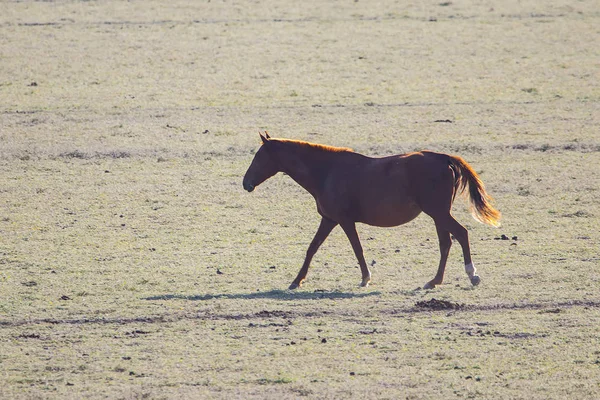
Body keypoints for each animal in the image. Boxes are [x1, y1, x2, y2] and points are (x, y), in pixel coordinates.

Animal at [241, 133, 500, 290]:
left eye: (259, 156)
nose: (246, 183)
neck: (326, 171)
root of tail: (444, 159)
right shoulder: (328, 220)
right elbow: (312, 248)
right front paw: (297, 281)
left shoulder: (344, 221)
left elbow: (357, 248)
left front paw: (365, 278)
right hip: (438, 215)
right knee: (446, 242)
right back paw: (434, 281)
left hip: (438, 212)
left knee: (461, 233)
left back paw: (472, 275)